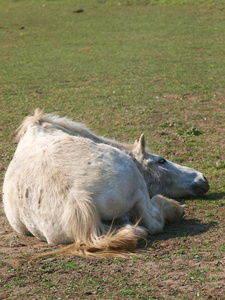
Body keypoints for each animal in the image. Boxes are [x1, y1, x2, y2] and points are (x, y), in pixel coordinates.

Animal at [2, 109, 209, 258]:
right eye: (161, 161)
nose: (203, 179)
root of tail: (77, 196)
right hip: (139, 191)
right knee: (152, 222)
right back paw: (172, 209)